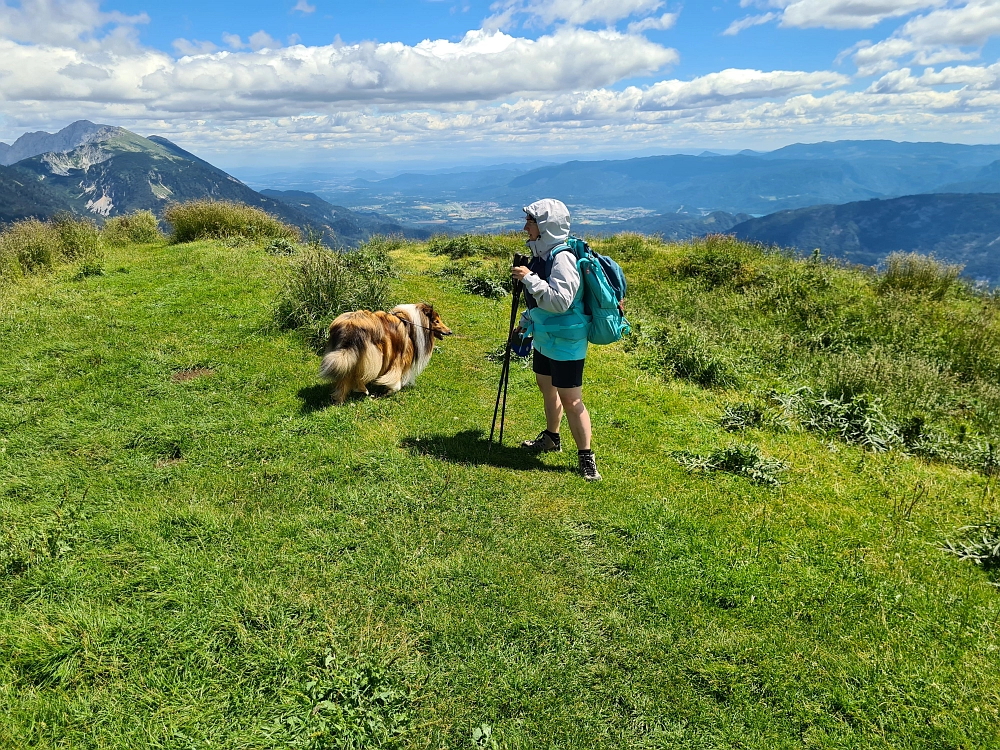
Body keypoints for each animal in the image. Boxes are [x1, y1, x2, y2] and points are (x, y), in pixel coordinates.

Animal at [318, 304, 452, 406]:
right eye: (436, 321)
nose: (450, 331)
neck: (413, 324)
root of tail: (350, 326)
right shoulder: (399, 358)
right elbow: (395, 377)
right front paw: (391, 389)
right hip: (373, 355)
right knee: (358, 376)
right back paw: (363, 390)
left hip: (349, 356)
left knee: (345, 378)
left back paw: (339, 401)